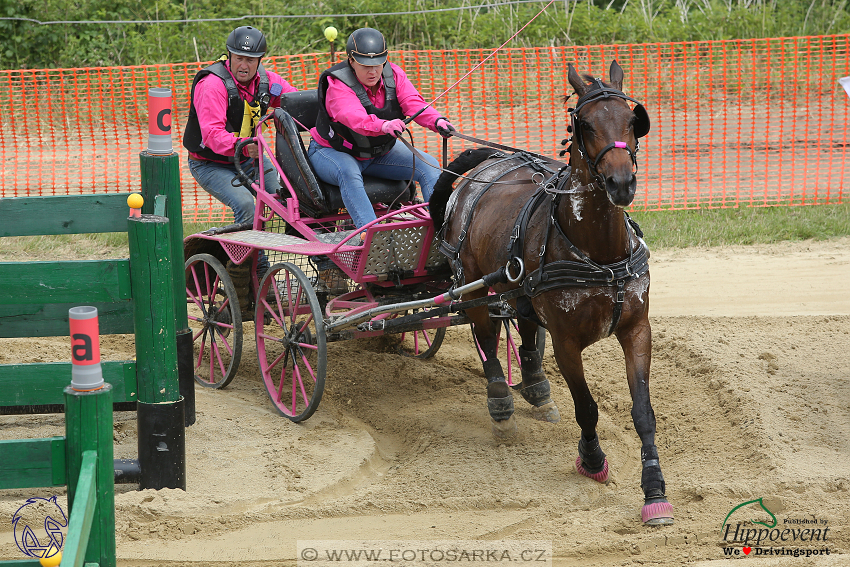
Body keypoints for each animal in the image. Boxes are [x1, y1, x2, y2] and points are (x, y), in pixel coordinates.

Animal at [430, 60, 668, 524]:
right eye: (584, 123)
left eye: (633, 120)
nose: (621, 183)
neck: (598, 253)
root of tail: (494, 163)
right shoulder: (567, 342)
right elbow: (587, 406)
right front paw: (592, 461)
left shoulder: (637, 329)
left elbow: (643, 411)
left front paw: (654, 489)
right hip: (474, 287)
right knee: (487, 339)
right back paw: (501, 404)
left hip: (518, 288)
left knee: (523, 329)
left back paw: (537, 387)